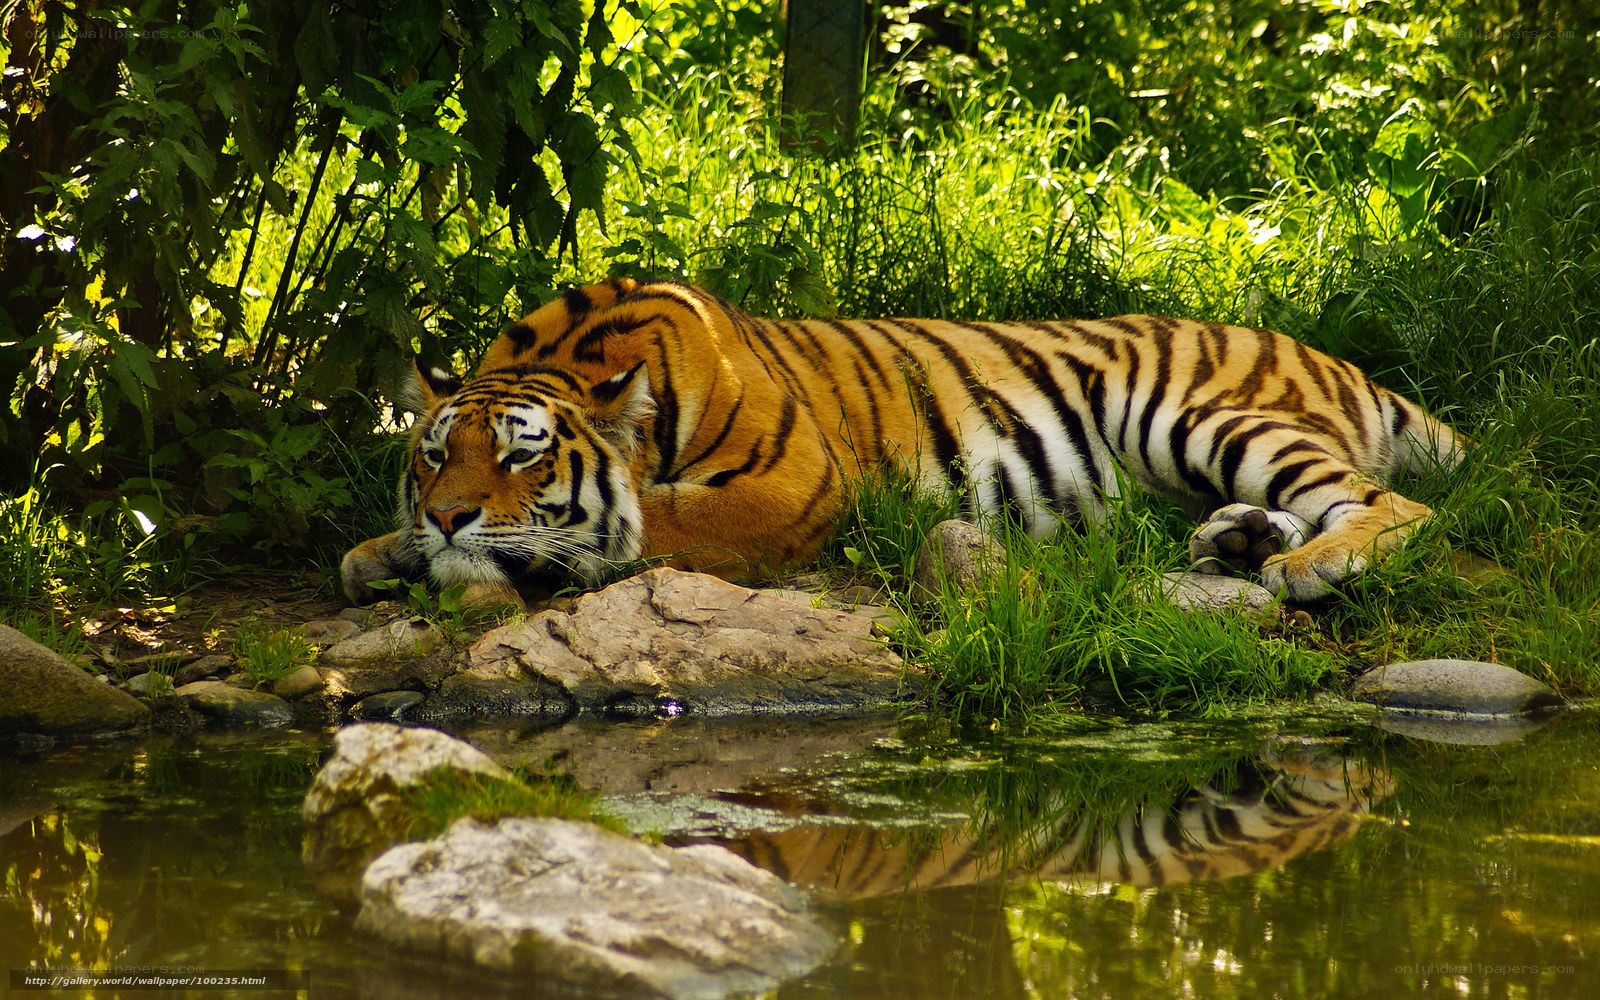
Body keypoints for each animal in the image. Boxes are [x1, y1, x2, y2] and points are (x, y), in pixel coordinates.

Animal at [340, 277, 1463, 607]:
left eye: (523, 455)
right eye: (435, 454)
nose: (449, 517)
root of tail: (1330, 356)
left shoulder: (792, 484)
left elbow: (651, 521)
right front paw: (382, 550)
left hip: (1196, 413)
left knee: (1393, 504)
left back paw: (1307, 567)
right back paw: (1238, 541)